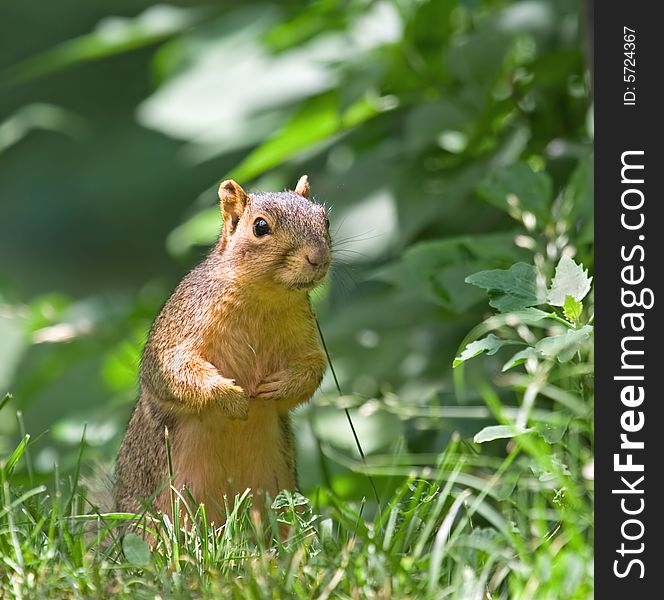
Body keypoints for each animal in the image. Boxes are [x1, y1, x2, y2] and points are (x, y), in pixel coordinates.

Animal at [116, 175, 332, 524]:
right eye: (260, 226)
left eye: (325, 219)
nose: (319, 259)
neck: (262, 297)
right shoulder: (182, 329)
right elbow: (175, 372)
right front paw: (230, 398)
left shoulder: (306, 336)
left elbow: (312, 368)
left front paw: (280, 386)